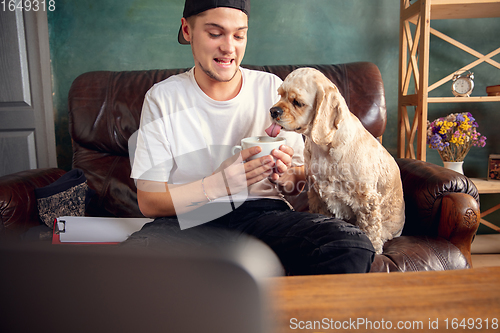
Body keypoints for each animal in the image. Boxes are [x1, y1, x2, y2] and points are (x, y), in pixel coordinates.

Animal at [268, 68, 404, 254]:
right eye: (280, 95)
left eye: (297, 102)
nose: (273, 111)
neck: (323, 148)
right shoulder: (317, 194)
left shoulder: (367, 199)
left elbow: (370, 230)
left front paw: (375, 250)